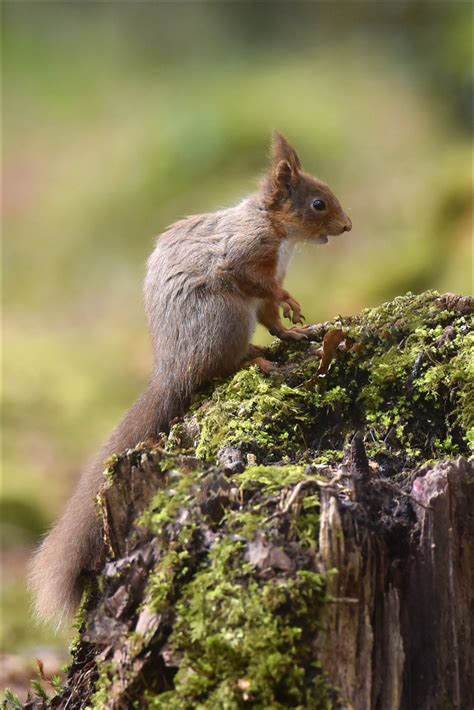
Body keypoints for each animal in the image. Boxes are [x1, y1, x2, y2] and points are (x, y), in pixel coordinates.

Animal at [27, 135, 350, 628]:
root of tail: (173, 370)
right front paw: (291, 304)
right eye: (318, 203)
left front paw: (296, 329)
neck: (274, 228)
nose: (347, 225)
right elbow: (256, 284)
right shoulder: (243, 256)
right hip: (227, 316)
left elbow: (273, 317)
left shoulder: (269, 278)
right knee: (216, 371)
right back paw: (254, 364)